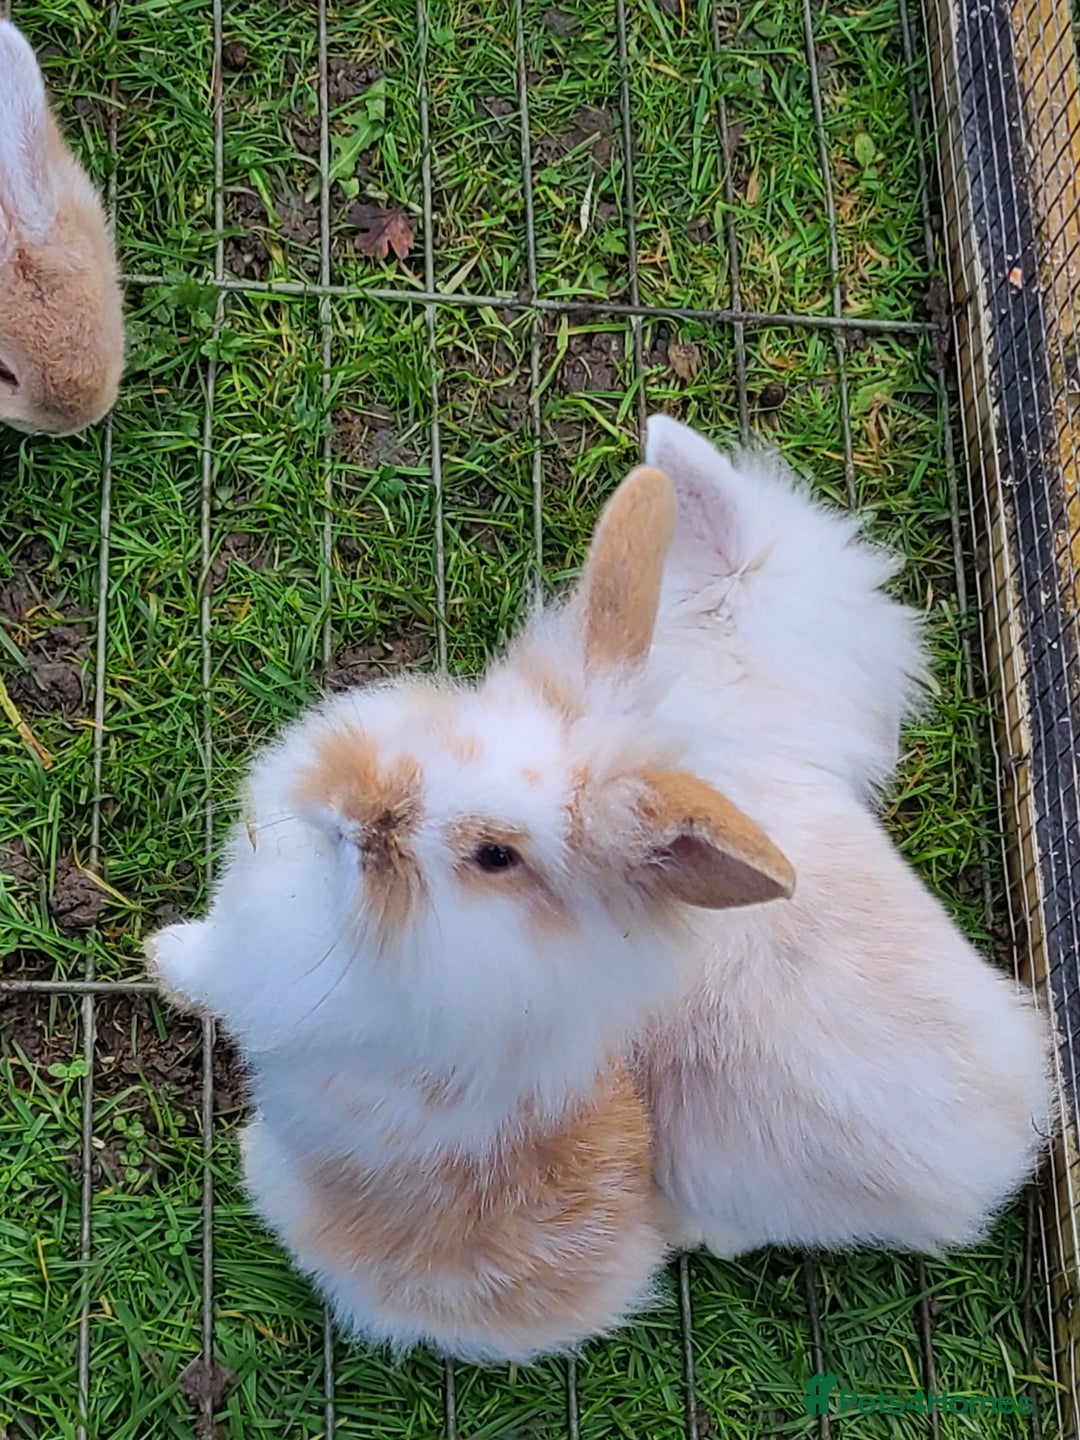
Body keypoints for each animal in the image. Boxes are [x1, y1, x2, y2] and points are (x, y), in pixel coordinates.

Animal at [144, 462, 797, 1365]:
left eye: (495, 857)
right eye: (449, 733)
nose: (359, 817)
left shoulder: (261, 974)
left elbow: (205, 971)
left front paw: (152, 960)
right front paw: (158, 951)